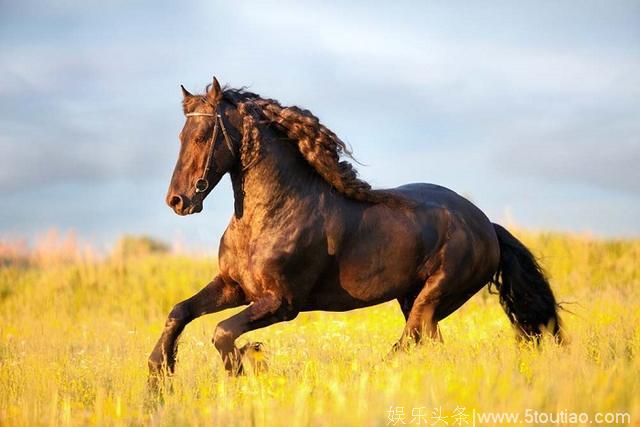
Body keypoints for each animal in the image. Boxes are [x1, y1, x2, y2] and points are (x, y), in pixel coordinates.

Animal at [148, 77, 564, 382]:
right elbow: (179, 312)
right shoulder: (234, 287)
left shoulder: (282, 303)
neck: (270, 216)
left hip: (435, 296)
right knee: (428, 344)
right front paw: (159, 375)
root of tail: (486, 225)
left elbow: (222, 332)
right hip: (413, 299)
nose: (178, 201)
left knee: (410, 340)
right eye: (181, 137)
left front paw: (249, 364)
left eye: (203, 136)